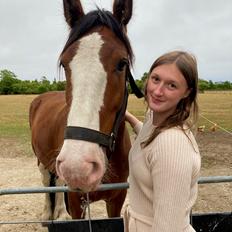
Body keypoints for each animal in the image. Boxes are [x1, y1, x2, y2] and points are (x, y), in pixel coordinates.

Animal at [29, 0, 141, 219]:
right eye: (64, 64)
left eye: (122, 63)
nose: (77, 167)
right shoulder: (75, 202)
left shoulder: (117, 199)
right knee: (47, 180)